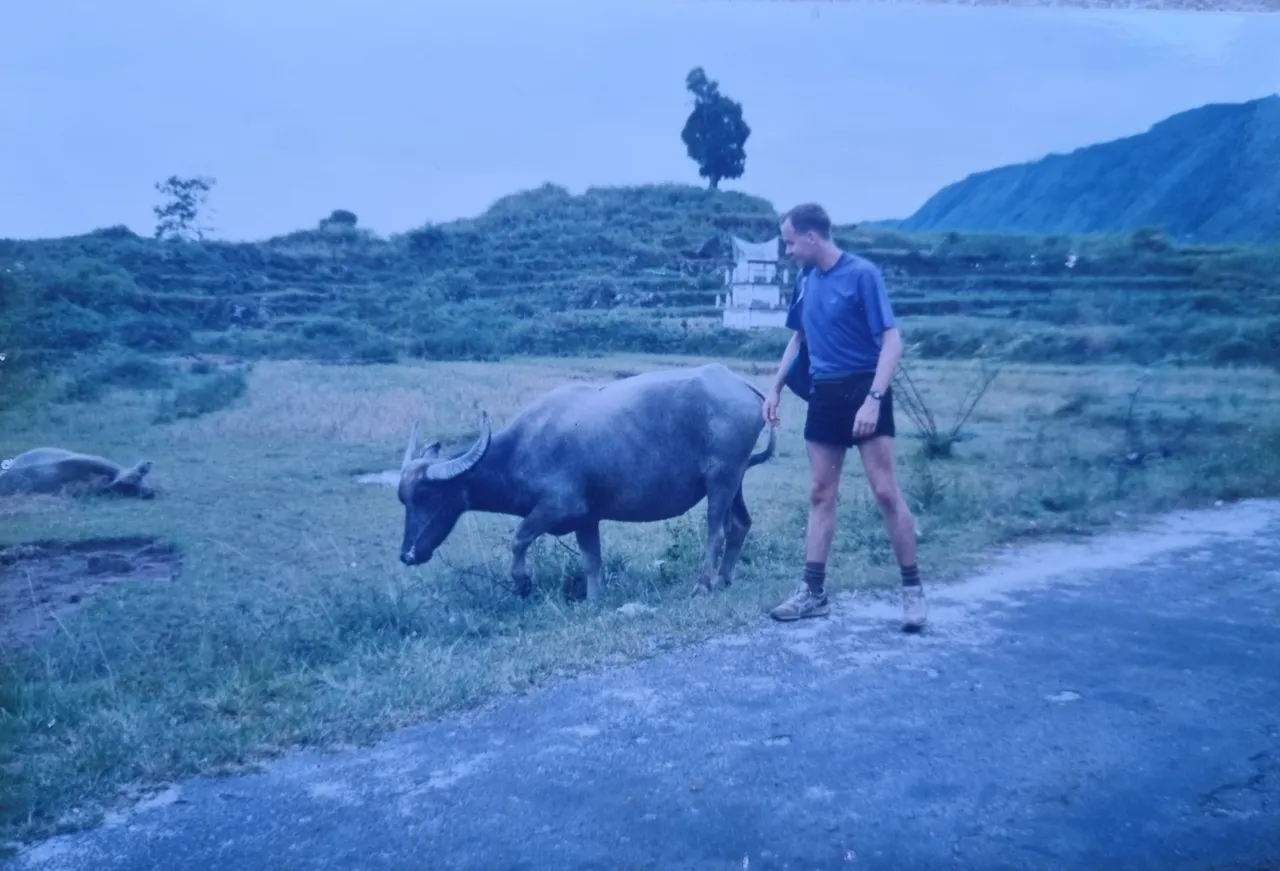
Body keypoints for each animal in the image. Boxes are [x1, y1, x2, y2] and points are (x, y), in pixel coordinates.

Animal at [399, 363, 773, 602]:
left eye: (426, 494)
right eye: (403, 498)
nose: (407, 555)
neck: (520, 449)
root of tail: (742, 387)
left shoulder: (558, 506)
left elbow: (518, 539)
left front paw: (523, 582)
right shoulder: (586, 518)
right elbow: (591, 560)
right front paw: (594, 599)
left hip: (721, 478)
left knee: (717, 531)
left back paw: (703, 585)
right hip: (735, 478)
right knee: (740, 525)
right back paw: (724, 578)